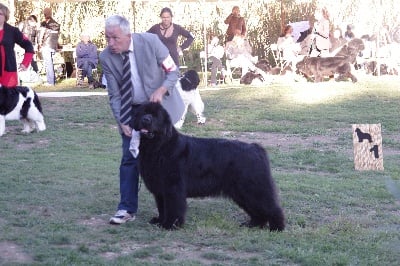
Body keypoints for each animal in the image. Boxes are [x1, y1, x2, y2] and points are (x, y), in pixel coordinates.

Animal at [130, 102, 284, 231]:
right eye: (143, 113)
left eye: (156, 115)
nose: (146, 120)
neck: (159, 147)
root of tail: (256, 148)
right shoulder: (160, 189)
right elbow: (162, 207)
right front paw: (160, 221)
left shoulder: (173, 188)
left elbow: (173, 208)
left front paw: (170, 225)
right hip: (240, 191)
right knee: (256, 209)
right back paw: (253, 224)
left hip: (253, 188)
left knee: (271, 207)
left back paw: (277, 227)